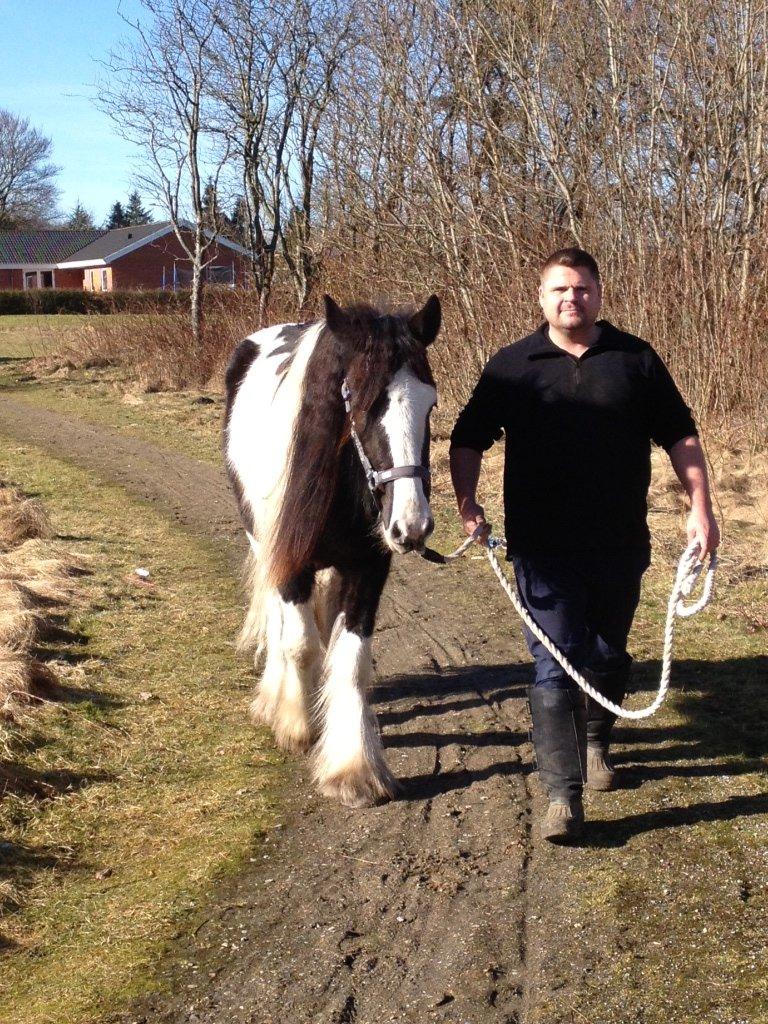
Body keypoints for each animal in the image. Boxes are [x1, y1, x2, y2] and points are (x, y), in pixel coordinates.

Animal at [224, 292, 438, 802]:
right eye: (359, 404)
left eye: (430, 405)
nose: (413, 525)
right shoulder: (291, 563)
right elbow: (300, 644)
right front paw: (296, 725)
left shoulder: (369, 568)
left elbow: (352, 660)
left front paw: (354, 766)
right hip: (264, 546)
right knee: (280, 624)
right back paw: (275, 696)